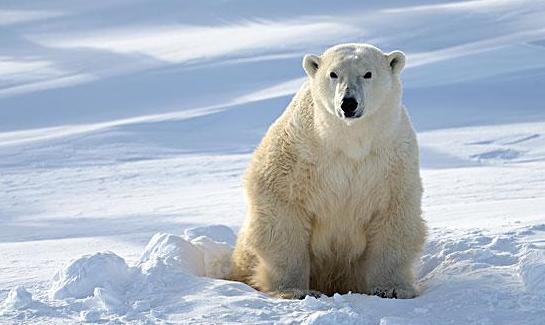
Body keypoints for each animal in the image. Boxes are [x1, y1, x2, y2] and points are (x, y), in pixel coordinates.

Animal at [227, 42, 428, 298]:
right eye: (333, 73)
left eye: (368, 73)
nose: (348, 103)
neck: (349, 141)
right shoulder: (300, 152)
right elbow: (282, 208)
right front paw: (296, 290)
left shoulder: (390, 160)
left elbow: (393, 214)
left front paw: (390, 288)